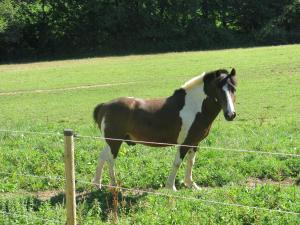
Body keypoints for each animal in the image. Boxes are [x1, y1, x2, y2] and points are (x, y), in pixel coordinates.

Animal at [92, 68, 238, 190]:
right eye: (218, 89)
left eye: (233, 89)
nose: (230, 114)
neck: (193, 107)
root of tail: (104, 106)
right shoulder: (184, 144)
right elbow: (177, 163)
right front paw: (171, 187)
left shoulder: (194, 143)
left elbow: (191, 162)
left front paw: (191, 184)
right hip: (115, 142)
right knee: (110, 160)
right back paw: (114, 185)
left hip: (110, 142)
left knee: (102, 158)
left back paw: (98, 184)